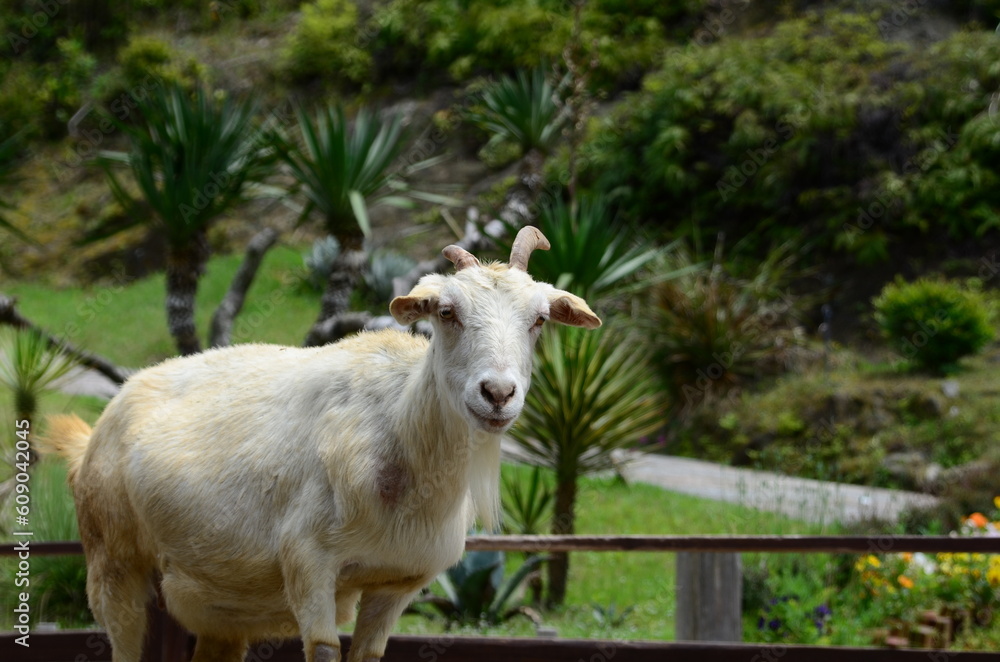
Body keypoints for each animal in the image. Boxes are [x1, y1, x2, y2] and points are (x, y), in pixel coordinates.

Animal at [43, 227, 596, 662]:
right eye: (446, 311)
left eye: (539, 320)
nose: (498, 393)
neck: (398, 431)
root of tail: (96, 430)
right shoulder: (309, 563)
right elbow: (325, 648)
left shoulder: (398, 585)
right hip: (113, 563)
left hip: (213, 603)